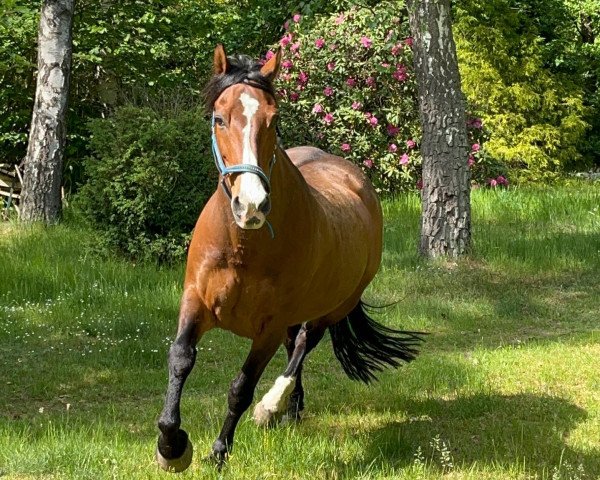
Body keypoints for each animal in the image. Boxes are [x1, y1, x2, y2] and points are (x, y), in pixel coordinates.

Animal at [157, 45, 424, 472]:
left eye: (274, 118)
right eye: (219, 118)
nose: (251, 205)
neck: (243, 246)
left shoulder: (268, 328)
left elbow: (241, 388)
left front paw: (219, 452)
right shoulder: (195, 302)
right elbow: (181, 358)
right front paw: (171, 446)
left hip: (333, 307)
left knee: (301, 346)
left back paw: (274, 406)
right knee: (294, 349)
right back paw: (291, 411)